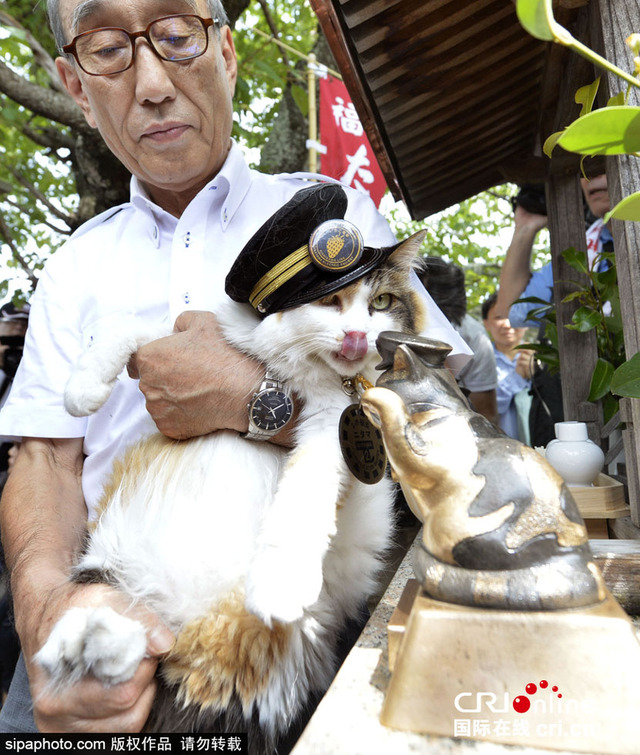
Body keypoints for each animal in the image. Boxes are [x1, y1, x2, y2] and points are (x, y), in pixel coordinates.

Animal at [33, 230, 424, 752]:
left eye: (381, 303)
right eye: (330, 300)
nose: (357, 337)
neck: (303, 369)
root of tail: (186, 609)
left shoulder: (333, 429)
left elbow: (304, 496)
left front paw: (279, 582)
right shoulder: (199, 336)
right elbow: (130, 326)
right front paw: (82, 388)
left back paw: (90, 644)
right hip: (111, 568)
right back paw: (80, 644)